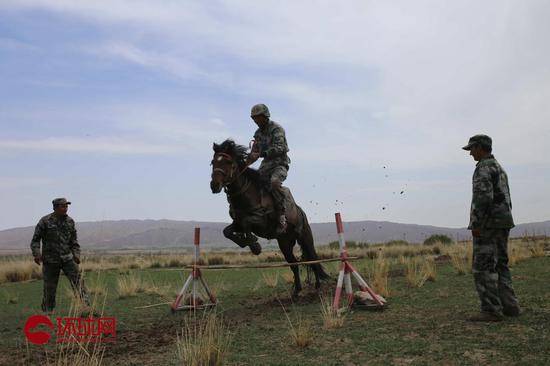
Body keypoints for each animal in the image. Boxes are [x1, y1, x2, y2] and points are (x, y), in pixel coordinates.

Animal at [211, 139, 332, 296]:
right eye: (213, 162)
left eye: (228, 161)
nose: (214, 185)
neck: (248, 195)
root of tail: (301, 212)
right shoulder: (236, 223)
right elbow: (227, 231)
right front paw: (245, 242)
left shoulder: (261, 221)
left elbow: (246, 222)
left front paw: (254, 245)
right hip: (285, 243)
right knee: (294, 264)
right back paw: (297, 291)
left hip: (305, 238)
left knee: (312, 259)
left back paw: (317, 286)